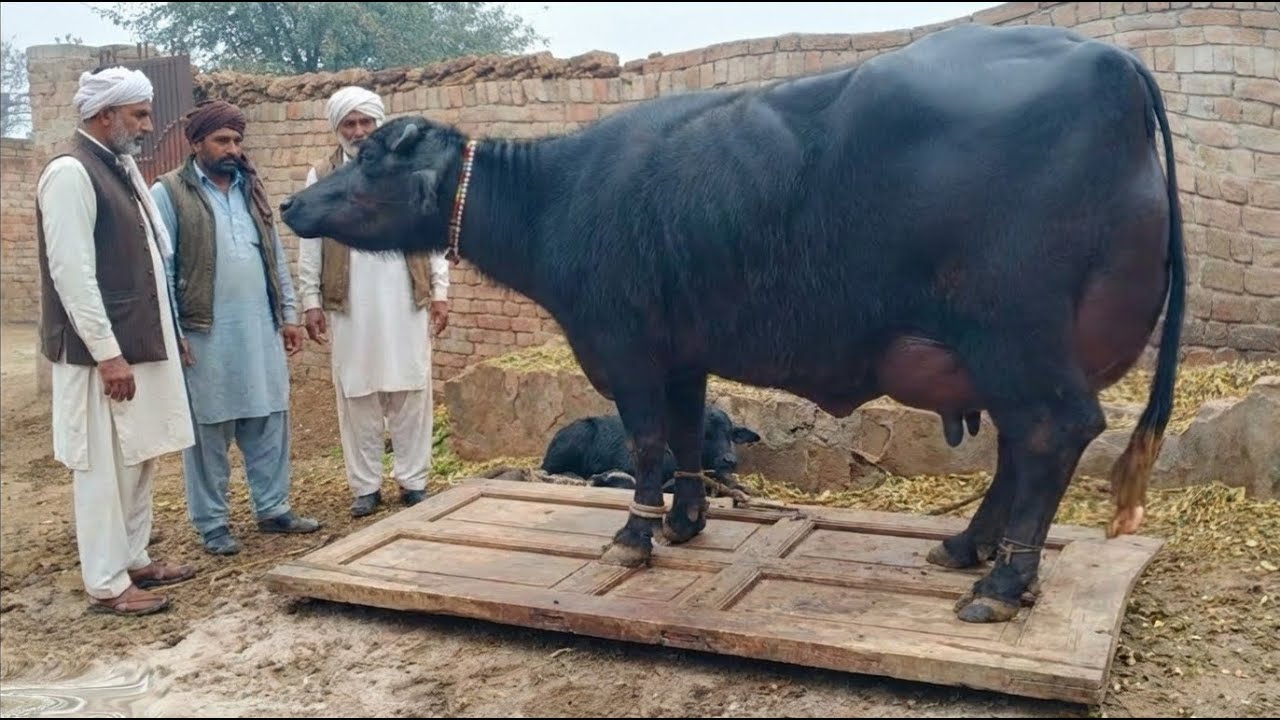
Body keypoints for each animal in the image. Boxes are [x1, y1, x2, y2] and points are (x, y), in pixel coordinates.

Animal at [280, 23, 1185, 624]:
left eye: (370, 160)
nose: (291, 204)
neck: (559, 198)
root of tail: (1110, 62)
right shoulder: (684, 353)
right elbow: (685, 437)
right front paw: (686, 521)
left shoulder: (624, 348)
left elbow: (647, 444)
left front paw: (634, 538)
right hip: (999, 356)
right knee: (1022, 447)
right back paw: (966, 549)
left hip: (1016, 340)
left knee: (1053, 434)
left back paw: (1000, 584)